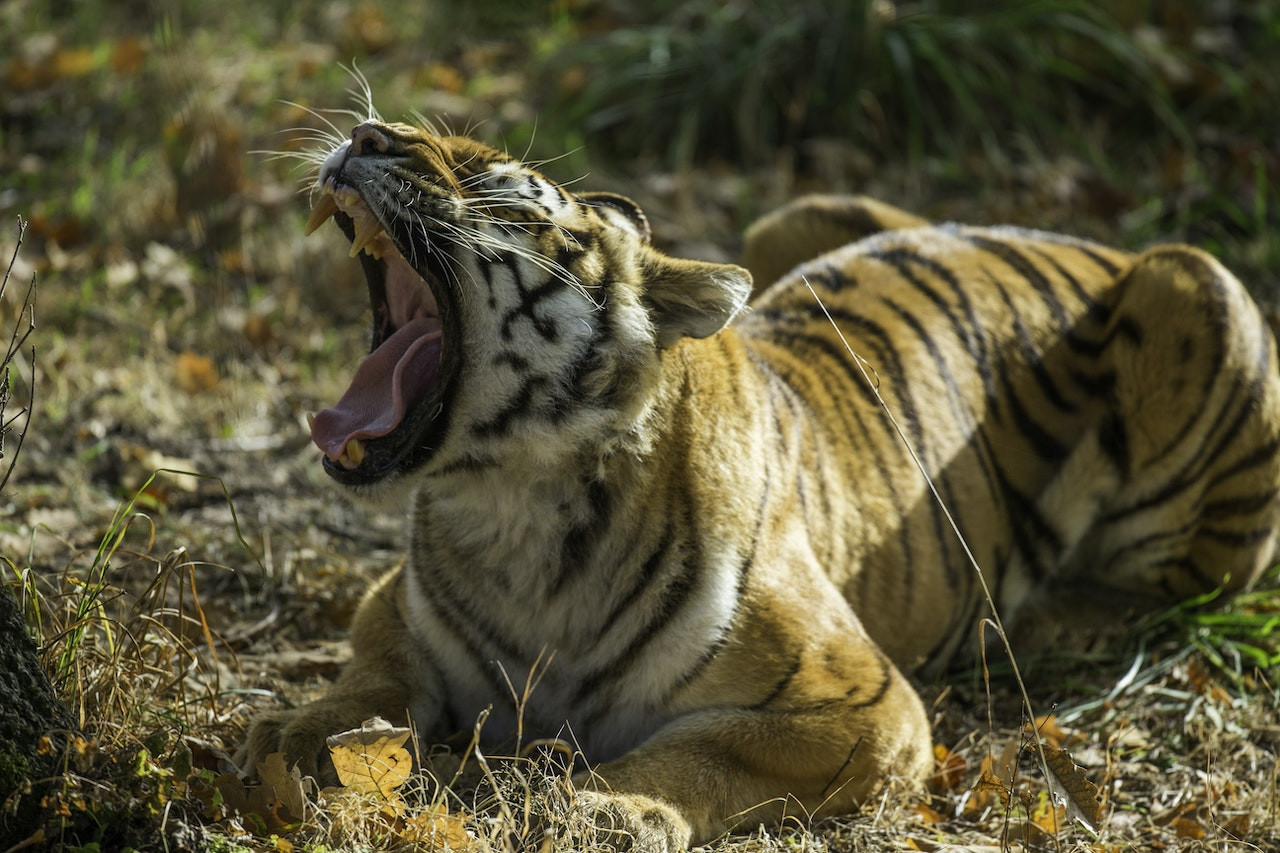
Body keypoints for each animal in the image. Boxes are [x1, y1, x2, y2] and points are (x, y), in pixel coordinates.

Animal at [238, 114, 1280, 850]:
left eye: (500, 194)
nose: (367, 136)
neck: (515, 512)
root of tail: (1091, 240)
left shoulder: (866, 703)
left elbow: (704, 748)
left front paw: (601, 812)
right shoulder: (392, 604)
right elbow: (372, 682)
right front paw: (291, 740)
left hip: (1199, 287)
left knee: (1184, 586)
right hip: (805, 212)